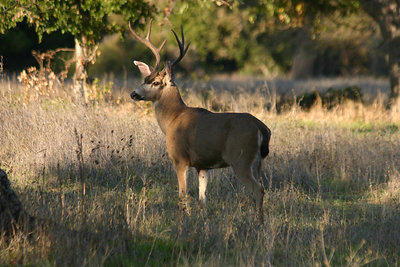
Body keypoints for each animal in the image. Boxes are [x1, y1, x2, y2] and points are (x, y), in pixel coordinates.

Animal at [130, 19, 270, 223]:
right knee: (261, 186)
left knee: (258, 190)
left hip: (241, 158)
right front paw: (203, 222)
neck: (173, 119)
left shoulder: (180, 159)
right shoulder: (203, 166)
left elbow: (182, 195)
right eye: (144, 78)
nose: (133, 94)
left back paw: (258, 224)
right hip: (257, 162)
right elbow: (202, 198)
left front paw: (182, 222)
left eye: (155, 82)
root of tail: (261, 128)